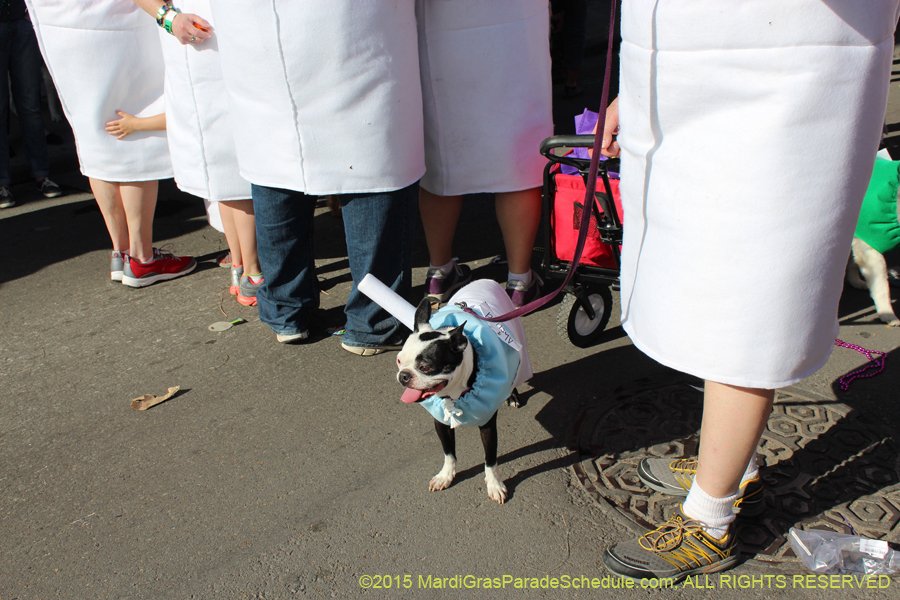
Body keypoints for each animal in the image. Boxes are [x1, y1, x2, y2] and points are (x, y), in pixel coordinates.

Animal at [394, 284, 528, 504]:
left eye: (425, 367)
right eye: (399, 360)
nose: (404, 375)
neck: (455, 394)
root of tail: (486, 280)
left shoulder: (488, 426)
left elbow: (490, 459)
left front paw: (495, 485)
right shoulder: (440, 422)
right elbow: (449, 453)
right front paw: (445, 476)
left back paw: (512, 395)